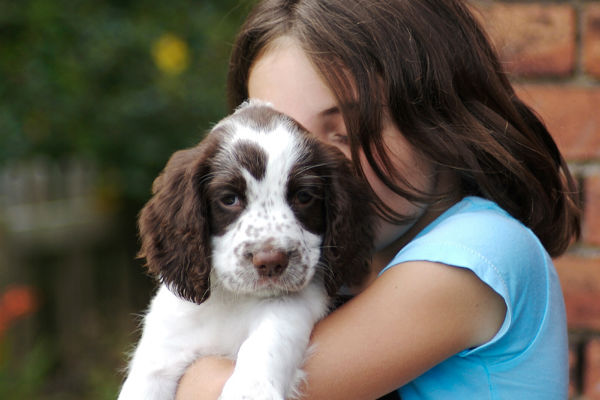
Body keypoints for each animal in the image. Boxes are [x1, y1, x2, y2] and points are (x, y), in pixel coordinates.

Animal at [118, 101, 376, 400]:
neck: (232, 300)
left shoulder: (294, 303)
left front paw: (251, 389)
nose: (271, 262)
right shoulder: (163, 348)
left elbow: (271, 335)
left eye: (304, 196)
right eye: (229, 199)